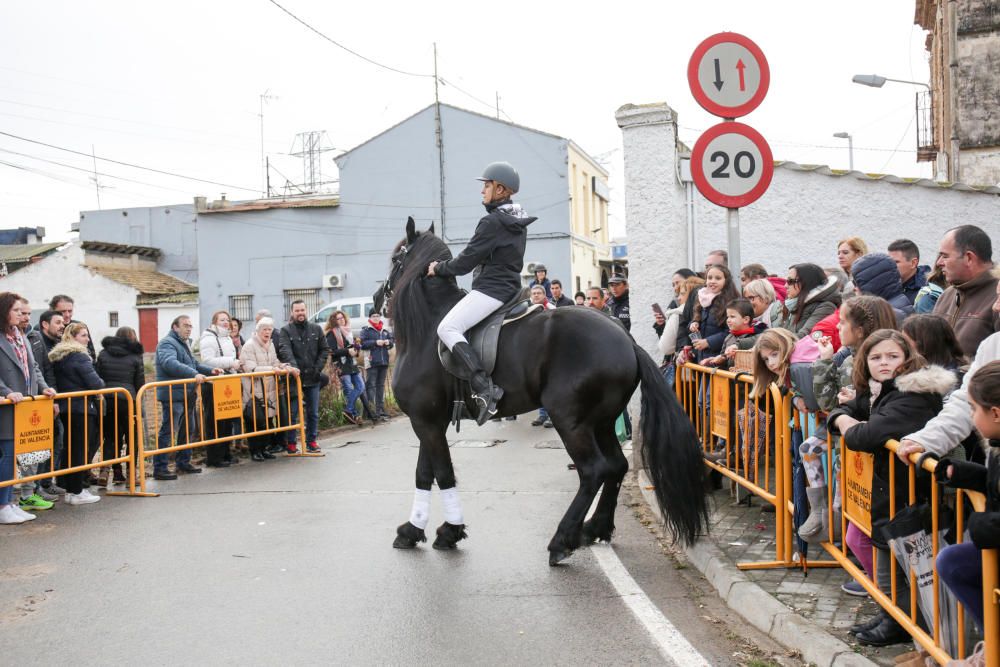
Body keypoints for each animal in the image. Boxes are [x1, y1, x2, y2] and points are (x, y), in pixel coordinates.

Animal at [376, 218, 712, 564]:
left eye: (396, 258)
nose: (376, 299)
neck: (428, 328)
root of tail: (625, 339)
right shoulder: (431, 421)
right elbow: (424, 472)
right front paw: (414, 530)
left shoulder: (425, 421)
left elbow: (441, 473)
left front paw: (448, 531)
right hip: (602, 422)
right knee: (617, 466)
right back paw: (596, 528)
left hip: (569, 419)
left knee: (593, 471)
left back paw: (562, 540)